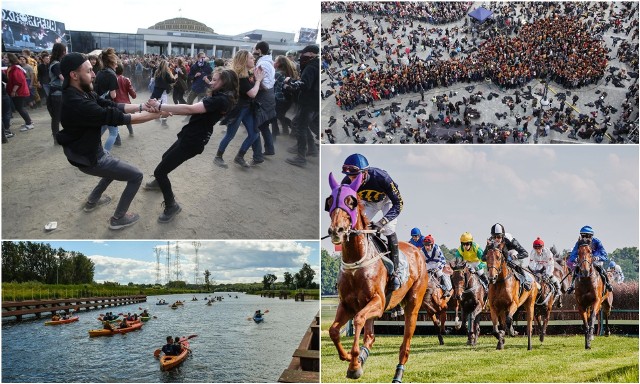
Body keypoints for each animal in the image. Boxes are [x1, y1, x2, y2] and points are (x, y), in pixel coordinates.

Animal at [328, 173, 428, 380]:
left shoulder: (379, 302)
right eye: (330, 201)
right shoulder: (347, 304)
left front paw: (353, 363)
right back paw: (362, 358)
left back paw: (397, 374)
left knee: (405, 345)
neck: (357, 261)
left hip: (413, 304)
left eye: (351, 202)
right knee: (370, 336)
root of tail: (417, 251)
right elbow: (333, 330)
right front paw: (349, 357)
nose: (336, 230)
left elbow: (358, 320)